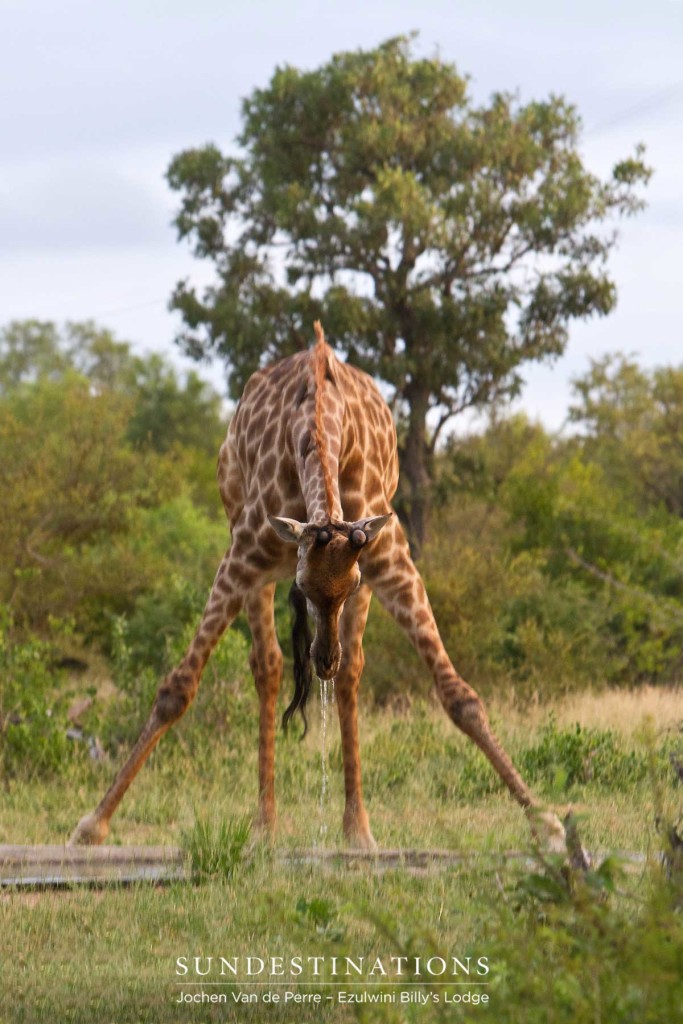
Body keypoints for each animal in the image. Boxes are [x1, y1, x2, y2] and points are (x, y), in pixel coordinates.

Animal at [69, 321, 565, 856]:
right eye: (304, 586)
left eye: (348, 585)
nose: (323, 661)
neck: (321, 438)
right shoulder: (242, 556)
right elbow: (176, 689)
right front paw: (93, 823)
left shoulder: (389, 559)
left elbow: (459, 695)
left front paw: (546, 821)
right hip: (250, 555)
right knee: (267, 666)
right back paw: (265, 826)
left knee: (349, 674)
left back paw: (357, 829)